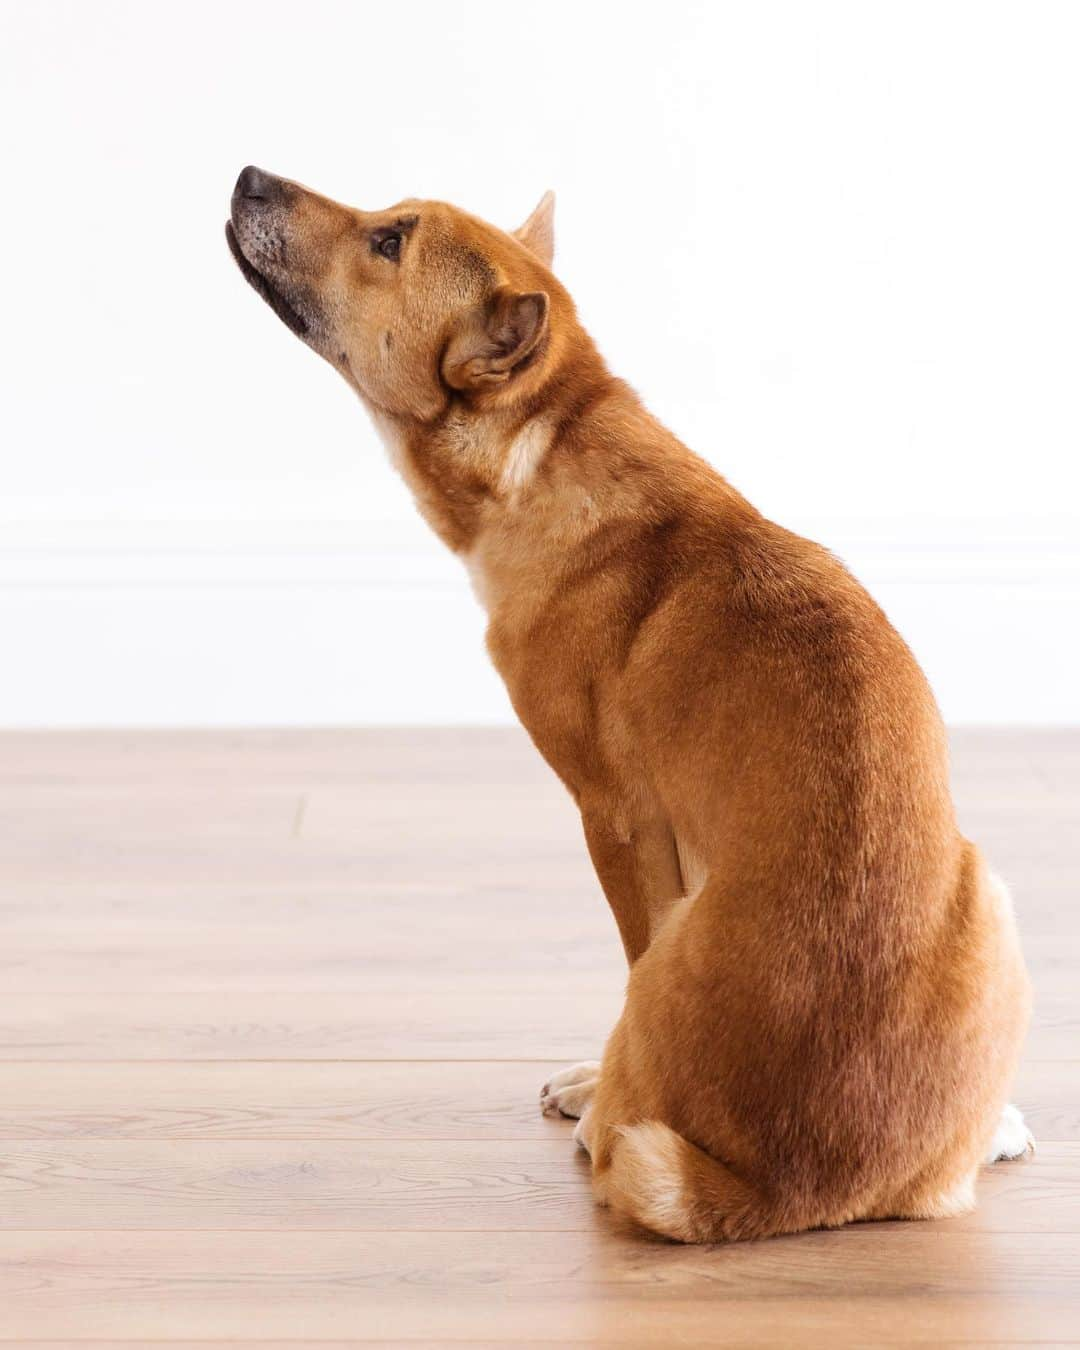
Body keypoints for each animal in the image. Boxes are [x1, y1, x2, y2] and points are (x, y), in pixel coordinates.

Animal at [225, 168, 1031, 1242]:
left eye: (389, 241)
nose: (248, 176)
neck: (548, 441)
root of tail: (798, 1189)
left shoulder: (613, 820)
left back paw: (598, 1095)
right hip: (991, 893)